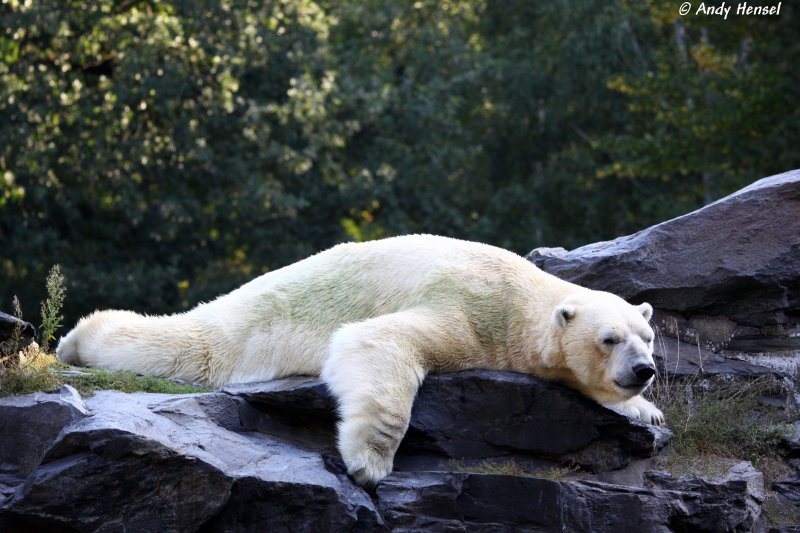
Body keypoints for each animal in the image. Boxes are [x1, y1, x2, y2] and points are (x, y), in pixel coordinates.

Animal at [57, 235, 664, 484]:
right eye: (609, 338)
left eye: (647, 337)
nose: (644, 372)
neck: (520, 297)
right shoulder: (471, 310)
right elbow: (379, 341)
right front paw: (368, 463)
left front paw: (646, 412)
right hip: (255, 321)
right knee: (192, 347)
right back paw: (78, 337)